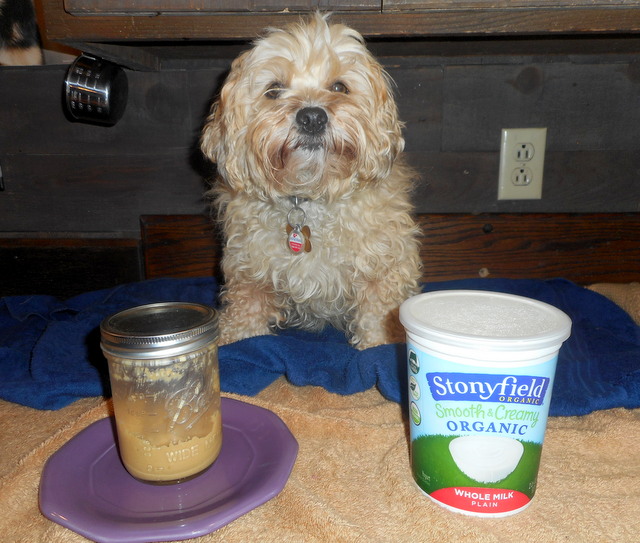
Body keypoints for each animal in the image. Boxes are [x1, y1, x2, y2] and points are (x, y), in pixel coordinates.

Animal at [200, 13, 420, 352]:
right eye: (274, 90)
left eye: (339, 87)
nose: (313, 117)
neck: (307, 196)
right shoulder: (249, 272)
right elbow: (246, 315)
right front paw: (236, 340)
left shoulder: (380, 270)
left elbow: (377, 320)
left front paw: (378, 347)